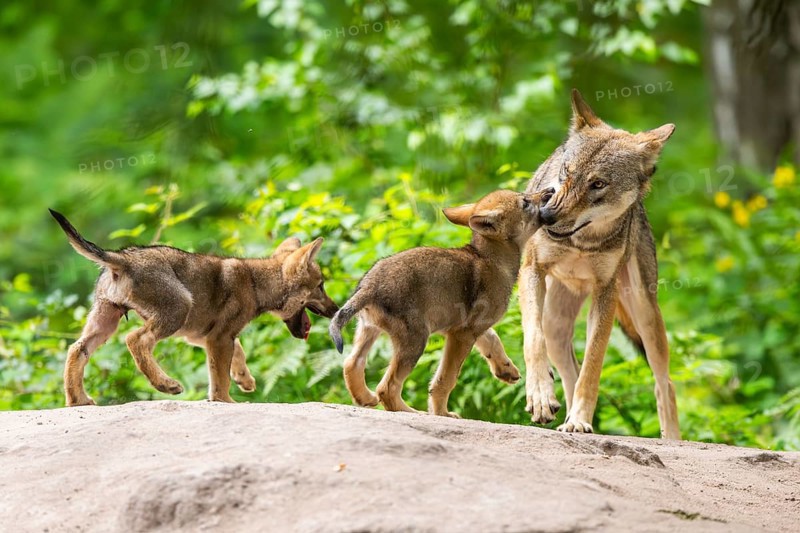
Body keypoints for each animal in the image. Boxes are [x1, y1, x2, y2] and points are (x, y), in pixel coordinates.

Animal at [49, 209, 338, 406]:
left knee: (76, 349)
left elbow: (238, 353)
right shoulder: (219, 337)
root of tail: (122, 256)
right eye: (321, 286)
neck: (256, 283)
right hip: (177, 309)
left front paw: (244, 378)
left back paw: (77, 400)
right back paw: (166, 384)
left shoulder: (204, 336)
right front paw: (226, 402)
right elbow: (219, 379)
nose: (336, 309)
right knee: (135, 340)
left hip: (106, 320)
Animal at [329, 189, 553, 417]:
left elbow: (493, 340)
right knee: (386, 387)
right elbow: (446, 379)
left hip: (369, 330)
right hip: (415, 342)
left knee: (351, 364)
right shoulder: (461, 335)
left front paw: (506, 370)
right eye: (525, 203)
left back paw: (365, 399)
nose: (550, 191)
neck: (491, 259)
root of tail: (369, 287)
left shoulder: (467, 327)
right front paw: (441, 413)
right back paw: (412, 412)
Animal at [519, 89, 681, 439]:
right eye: (566, 172)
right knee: (567, 368)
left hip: (646, 315)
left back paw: (673, 440)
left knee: (665, 384)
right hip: (555, 323)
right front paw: (540, 397)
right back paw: (561, 415)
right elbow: (533, 340)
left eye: (598, 184)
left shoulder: (606, 291)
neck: (581, 242)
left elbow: (593, 365)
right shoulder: (531, 270)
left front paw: (581, 419)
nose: (545, 216)